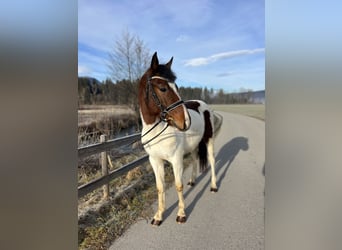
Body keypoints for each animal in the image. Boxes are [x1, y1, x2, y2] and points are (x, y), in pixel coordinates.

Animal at [138, 51, 216, 226]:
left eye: (177, 87)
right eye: (163, 88)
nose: (185, 121)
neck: (158, 131)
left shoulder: (176, 159)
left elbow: (178, 185)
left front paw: (181, 214)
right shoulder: (155, 160)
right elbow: (160, 187)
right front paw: (159, 216)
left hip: (209, 140)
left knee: (212, 160)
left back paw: (214, 186)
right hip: (194, 146)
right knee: (194, 159)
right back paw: (192, 181)